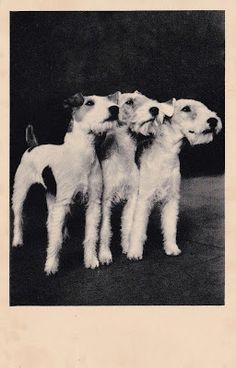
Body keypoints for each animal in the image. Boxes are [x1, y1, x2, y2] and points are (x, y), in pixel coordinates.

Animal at [12, 93, 119, 274]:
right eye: (89, 103)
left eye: (108, 101)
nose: (115, 109)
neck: (82, 153)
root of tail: (33, 147)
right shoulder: (63, 203)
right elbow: (55, 242)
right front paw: (51, 266)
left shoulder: (93, 202)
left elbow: (91, 235)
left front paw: (91, 260)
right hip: (21, 191)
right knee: (19, 216)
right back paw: (18, 240)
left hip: (52, 195)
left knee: (51, 220)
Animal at [98, 91, 175, 264]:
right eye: (129, 102)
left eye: (147, 100)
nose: (155, 110)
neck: (123, 155)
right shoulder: (106, 200)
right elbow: (105, 229)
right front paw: (104, 255)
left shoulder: (132, 197)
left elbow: (128, 225)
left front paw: (128, 248)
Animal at [127, 98, 221, 258]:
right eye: (186, 109)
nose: (213, 121)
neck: (166, 153)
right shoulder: (144, 199)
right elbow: (138, 227)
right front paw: (134, 252)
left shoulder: (171, 198)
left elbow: (170, 227)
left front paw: (172, 248)